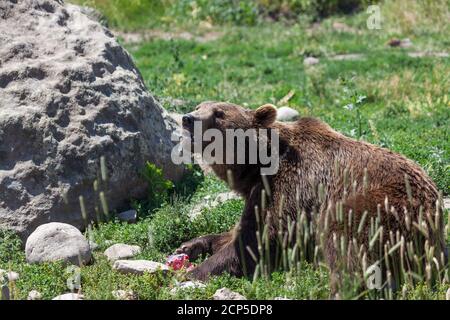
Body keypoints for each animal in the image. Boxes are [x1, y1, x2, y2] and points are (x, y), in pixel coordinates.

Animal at [176, 100, 446, 292]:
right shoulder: (259, 190)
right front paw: (190, 245)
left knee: (344, 236)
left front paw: (191, 274)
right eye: (199, 106)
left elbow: (259, 240)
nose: (188, 118)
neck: (256, 167)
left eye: (219, 113)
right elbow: (238, 232)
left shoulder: (290, 185)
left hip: (387, 206)